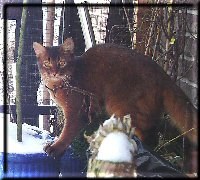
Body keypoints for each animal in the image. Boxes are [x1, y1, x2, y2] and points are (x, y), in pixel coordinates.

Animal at [33, 37, 198, 172]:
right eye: (47, 63)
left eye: (62, 62)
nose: (54, 73)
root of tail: (163, 74)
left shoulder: (75, 111)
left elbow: (67, 133)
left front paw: (56, 148)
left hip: (124, 107)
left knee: (148, 137)